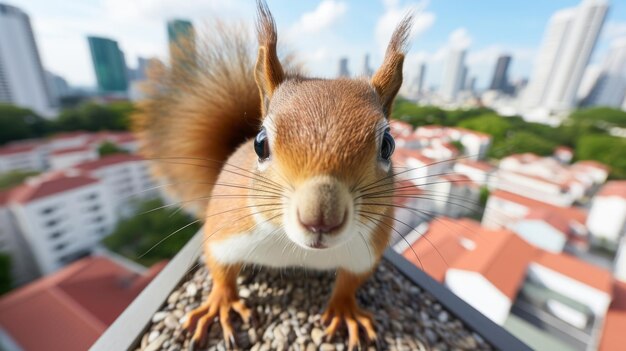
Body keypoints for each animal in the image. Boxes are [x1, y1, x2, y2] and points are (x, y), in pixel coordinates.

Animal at [134, 1, 412, 350]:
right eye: (260, 143)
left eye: (388, 145)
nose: (320, 219)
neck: (296, 248)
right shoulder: (225, 230)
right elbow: (220, 269)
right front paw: (221, 304)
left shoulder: (366, 250)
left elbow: (350, 282)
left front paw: (345, 310)